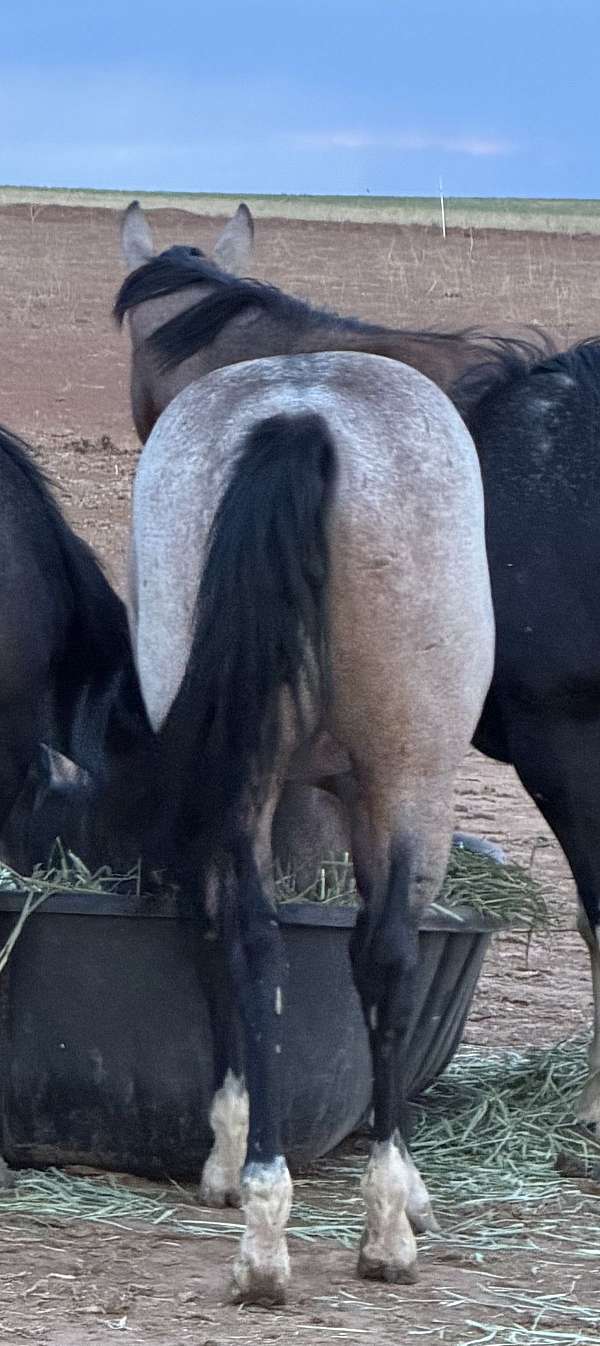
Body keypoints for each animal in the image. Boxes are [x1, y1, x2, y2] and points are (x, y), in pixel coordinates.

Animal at [4, 345, 494, 1300]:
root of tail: (302, 411)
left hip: (314, 776)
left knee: (264, 941)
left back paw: (275, 1232)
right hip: (404, 777)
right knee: (355, 951)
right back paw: (333, 1221)